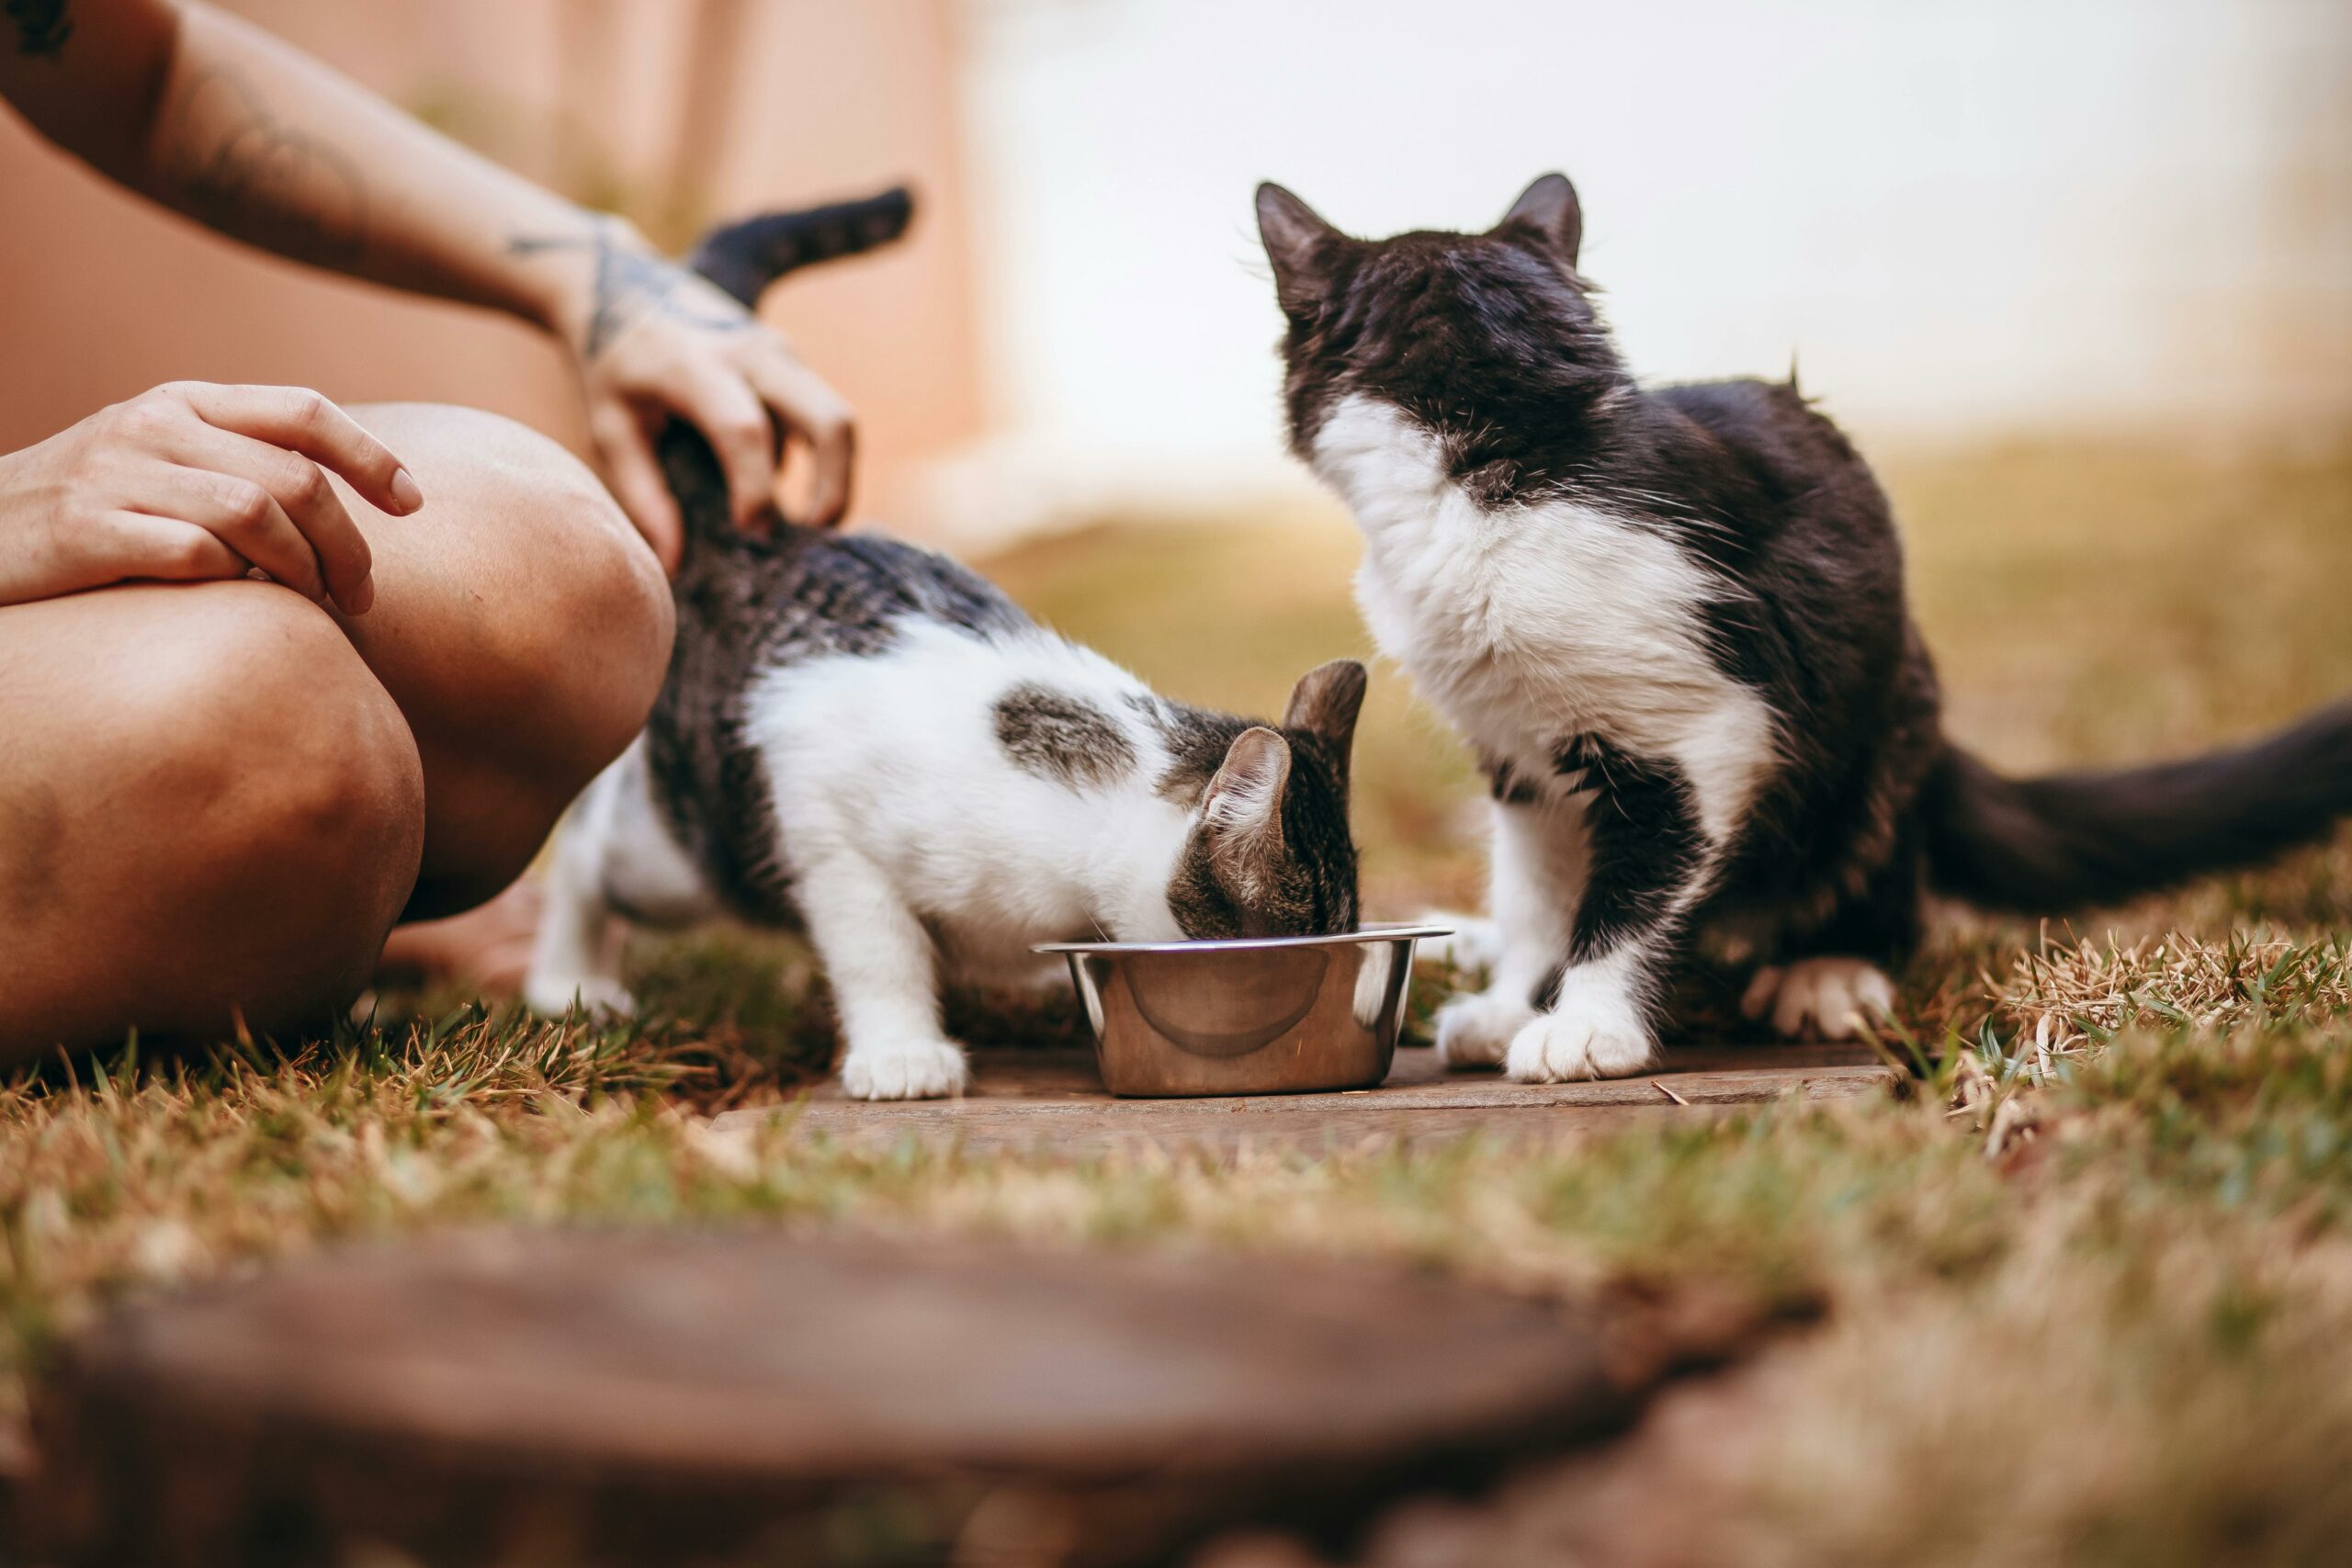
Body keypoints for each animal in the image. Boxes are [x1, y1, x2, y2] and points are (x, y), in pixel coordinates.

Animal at [519, 199, 1363, 1104]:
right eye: (1306, 936)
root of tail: (756, 530)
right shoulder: (827, 822)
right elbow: (877, 949)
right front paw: (901, 1051)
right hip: (687, 851)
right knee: (588, 846)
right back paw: (570, 979)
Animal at [1261, 171, 2352, 1081]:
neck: (1510, 456)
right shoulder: (1517, 748)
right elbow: (1535, 884)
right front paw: (1515, 996)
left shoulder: (1709, 729)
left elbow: (1633, 890)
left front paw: (1587, 1021)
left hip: (1876, 739)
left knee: (1877, 875)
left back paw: (1828, 969)